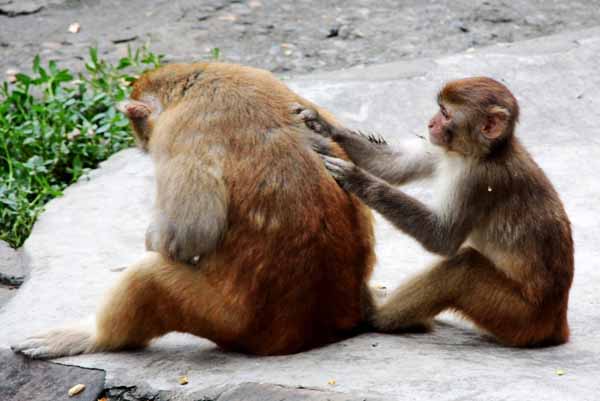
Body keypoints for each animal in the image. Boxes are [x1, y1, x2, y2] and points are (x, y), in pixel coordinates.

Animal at [11, 62, 376, 356]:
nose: (141, 144)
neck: (196, 81)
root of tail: (312, 330)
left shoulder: (179, 131)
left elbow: (188, 235)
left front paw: (156, 240)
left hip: (223, 318)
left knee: (148, 278)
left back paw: (94, 337)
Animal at [298, 76, 576, 346]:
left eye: (445, 113)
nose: (430, 123)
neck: (481, 153)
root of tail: (557, 322)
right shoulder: (443, 150)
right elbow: (394, 166)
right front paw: (321, 125)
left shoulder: (477, 181)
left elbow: (442, 239)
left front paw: (354, 177)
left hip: (516, 314)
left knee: (463, 268)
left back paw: (378, 315)